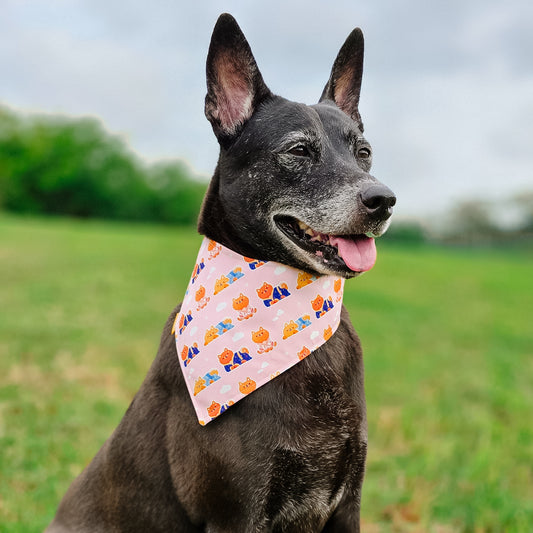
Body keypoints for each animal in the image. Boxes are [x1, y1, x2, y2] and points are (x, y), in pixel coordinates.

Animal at [46, 12, 394, 532]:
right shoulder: (235, 512)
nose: (383, 200)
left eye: (364, 152)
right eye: (298, 151)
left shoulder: (346, 505)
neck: (290, 306)